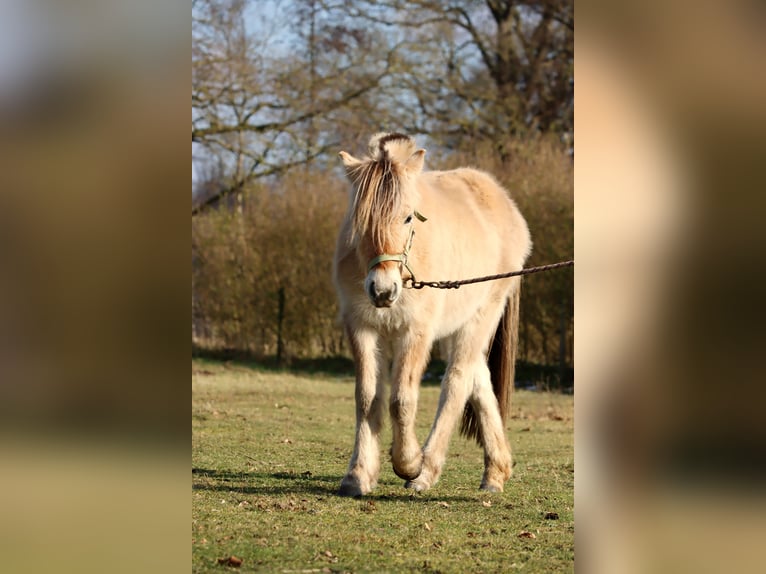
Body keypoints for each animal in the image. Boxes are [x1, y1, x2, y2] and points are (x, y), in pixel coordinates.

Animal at [332, 133, 532, 498]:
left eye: (409, 218)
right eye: (360, 220)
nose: (382, 290)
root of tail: (502, 200)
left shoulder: (416, 332)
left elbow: (401, 399)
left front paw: (408, 463)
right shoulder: (361, 327)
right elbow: (367, 397)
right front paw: (358, 475)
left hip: (480, 319)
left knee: (456, 383)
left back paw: (426, 471)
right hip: (458, 327)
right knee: (478, 380)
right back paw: (495, 472)